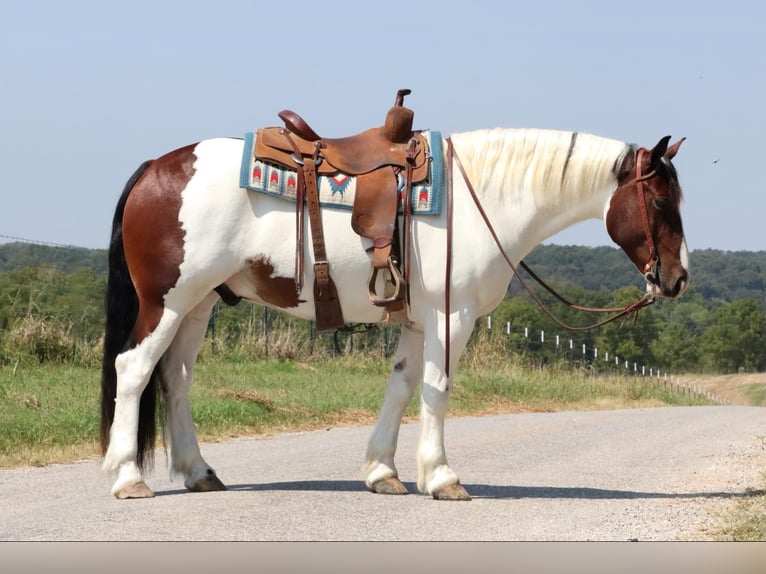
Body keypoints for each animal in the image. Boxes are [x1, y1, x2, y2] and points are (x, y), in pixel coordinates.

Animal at [100, 103, 688, 504]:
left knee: (175, 378)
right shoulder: (452, 317)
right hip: (166, 301)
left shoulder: (418, 321)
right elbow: (437, 390)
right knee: (134, 369)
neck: (482, 199)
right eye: (661, 200)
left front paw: (384, 472)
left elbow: (402, 387)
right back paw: (128, 477)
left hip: (197, 305)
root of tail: (155, 167)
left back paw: (199, 472)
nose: (678, 279)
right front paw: (442, 477)